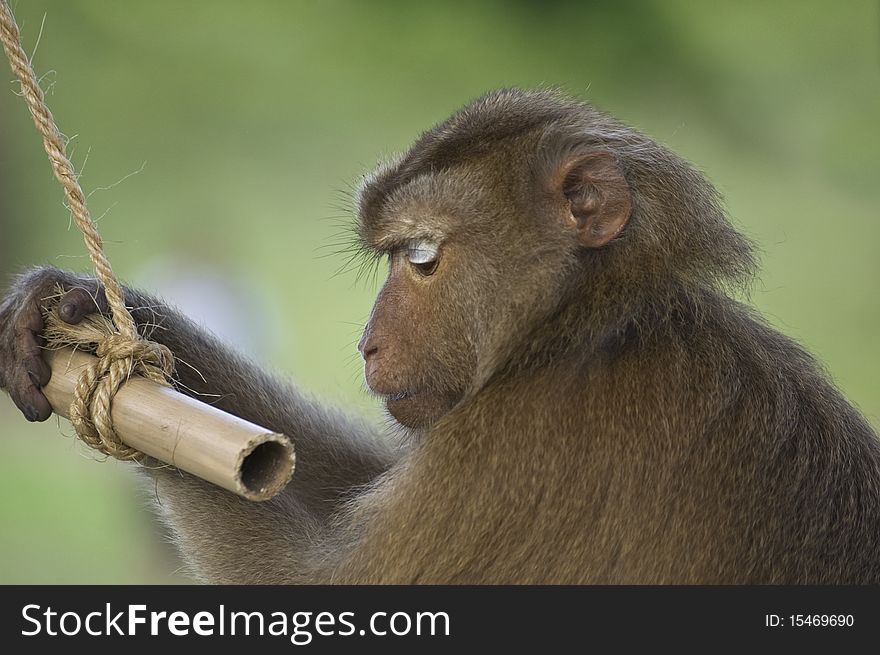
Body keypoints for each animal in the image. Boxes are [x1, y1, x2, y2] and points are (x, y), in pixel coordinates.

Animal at [1, 88, 880, 584]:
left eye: (420, 256)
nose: (367, 342)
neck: (585, 323)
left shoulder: (525, 440)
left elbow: (321, 590)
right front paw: (97, 310)